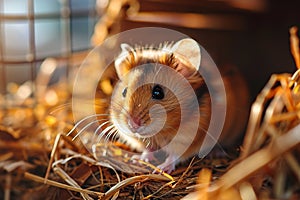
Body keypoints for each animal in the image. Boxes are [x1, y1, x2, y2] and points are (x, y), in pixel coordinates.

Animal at [108, 38, 248, 173]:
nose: (133, 125)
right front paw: (138, 160)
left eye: (158, 92)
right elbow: (148, 149)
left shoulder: (188, 139)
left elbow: (175, 155)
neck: (161, 132)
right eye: (124, 91)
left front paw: (161, 169)